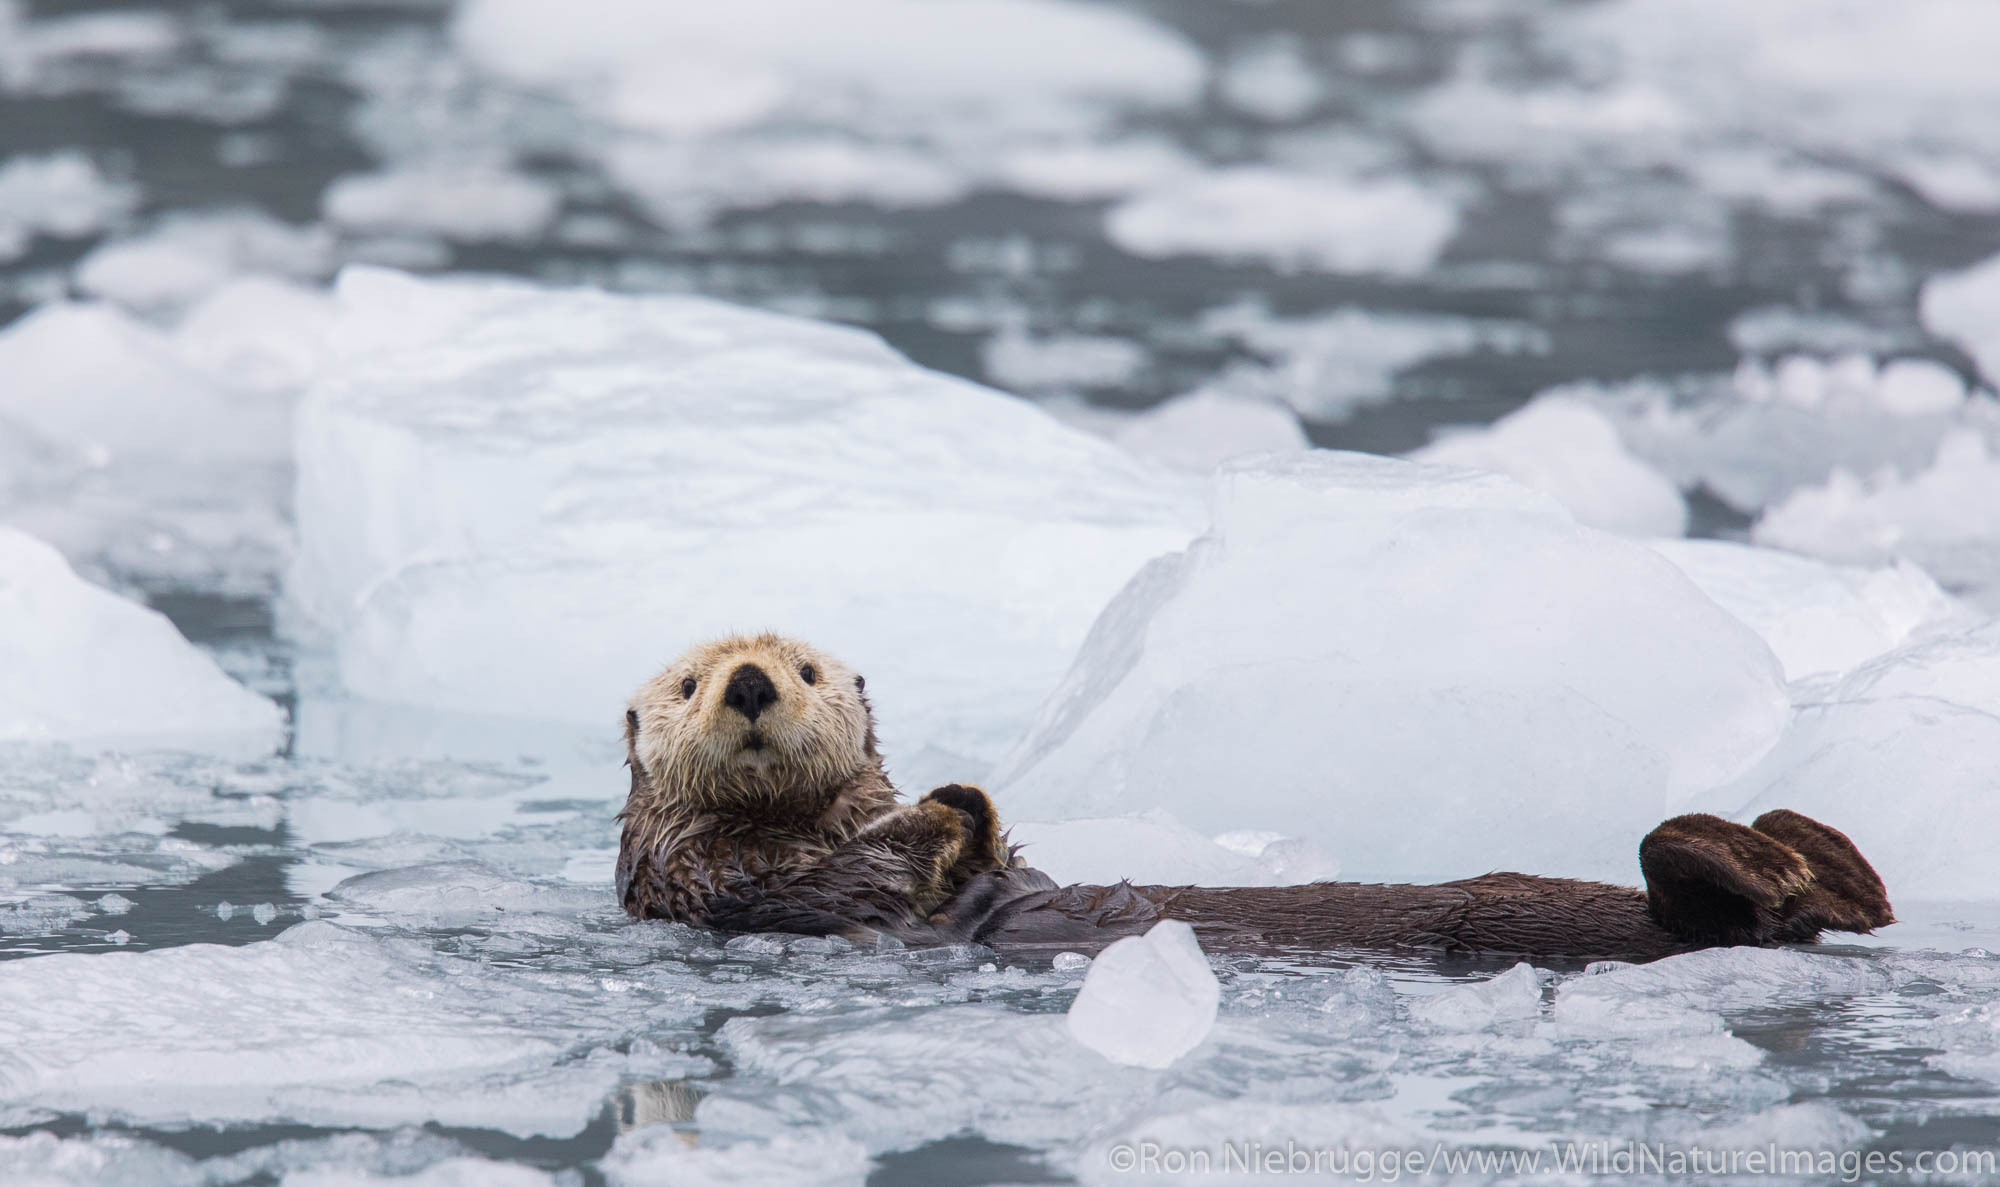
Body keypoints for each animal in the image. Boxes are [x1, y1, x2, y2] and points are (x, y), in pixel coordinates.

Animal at [616, 631, 1896, 955]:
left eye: (804, 668)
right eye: (684, 681)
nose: (745, 682)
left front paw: (966, 801)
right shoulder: (718, 879)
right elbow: (853, 880)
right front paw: (941, 808)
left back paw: (1813, 851)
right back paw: (1768, 856)